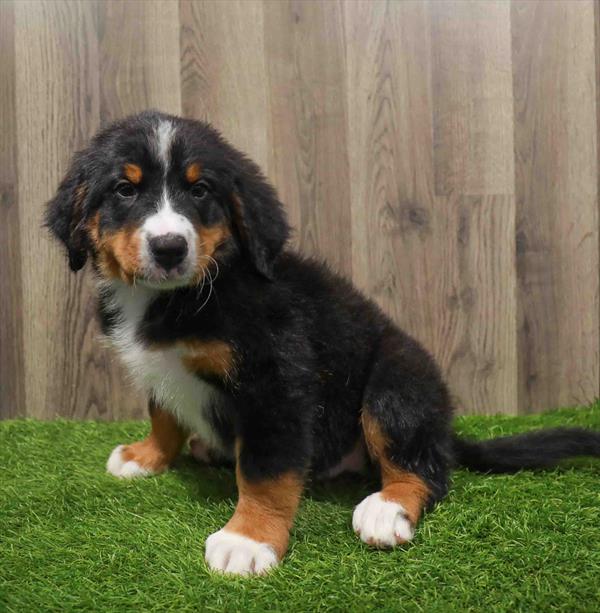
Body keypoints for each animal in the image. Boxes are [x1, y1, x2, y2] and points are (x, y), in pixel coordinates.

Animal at [47, 110, 600, 572]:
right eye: (124, 190)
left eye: (200, 190)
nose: (169, 247)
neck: (177, 298)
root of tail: (443, 431)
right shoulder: (161, 371)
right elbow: (163, 414)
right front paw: (145, 457)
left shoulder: (276, 383)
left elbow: (265, 472)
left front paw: (248, 540)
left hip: (397, 381)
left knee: (426, 468)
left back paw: (386, 509)